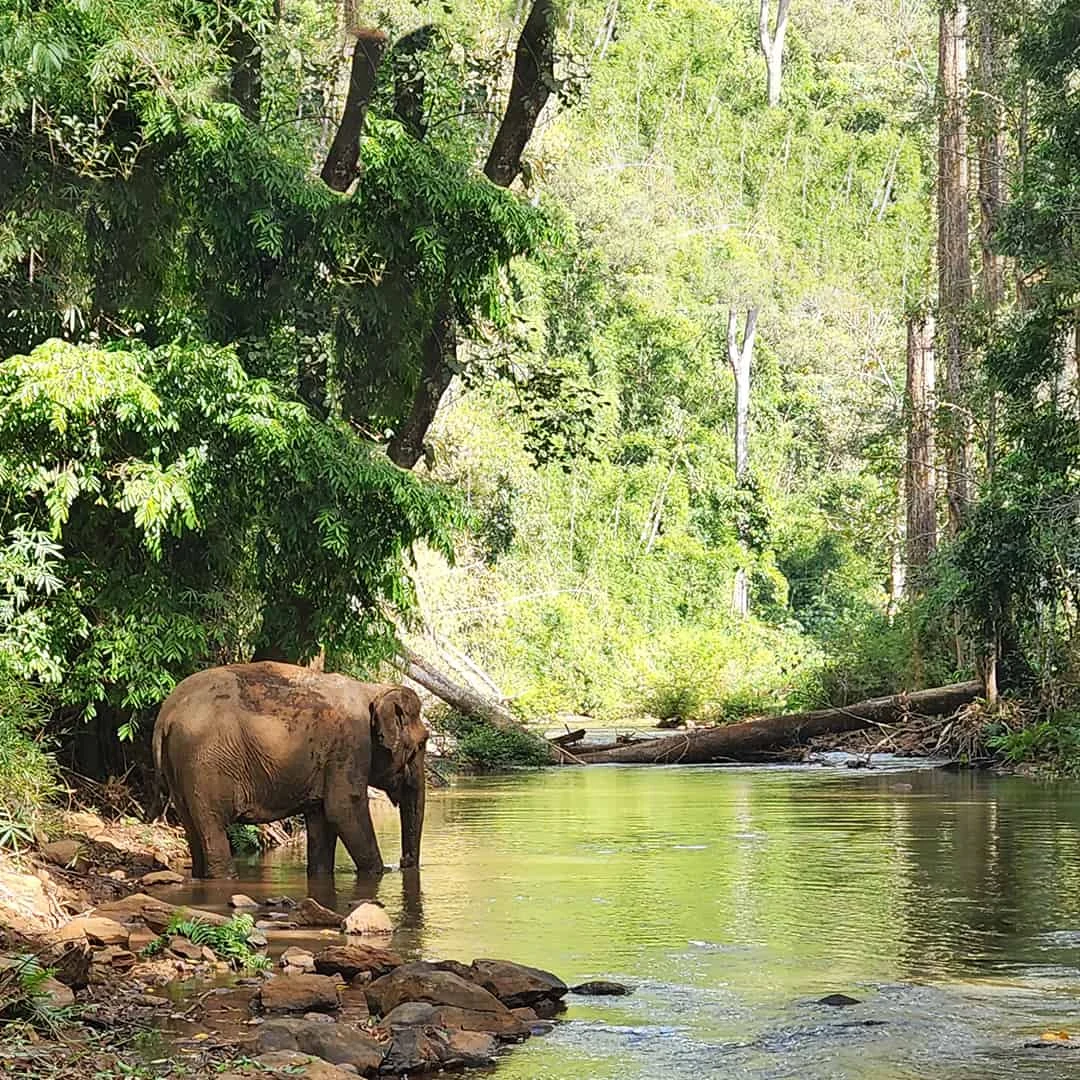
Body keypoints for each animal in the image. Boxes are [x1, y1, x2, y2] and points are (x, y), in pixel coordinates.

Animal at [152, 662, 427, 879]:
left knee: (192, 827)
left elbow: (321, 818)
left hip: (180, 770)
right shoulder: (350, 744)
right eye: (423, 743)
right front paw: (380, 872)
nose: (403, 862)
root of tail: (165, 716)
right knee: (212, 825)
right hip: (204, 764)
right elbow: (343, 808)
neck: (372, 689)